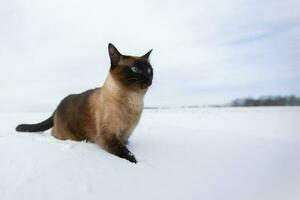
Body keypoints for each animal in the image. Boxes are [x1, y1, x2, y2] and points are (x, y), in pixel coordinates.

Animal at [15, 43, 154, 162]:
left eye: (149, 70)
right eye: (135, 69)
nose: (149, 78)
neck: (134, 101)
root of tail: (58, 106)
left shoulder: (126, 135)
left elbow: (126, 144)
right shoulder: (108, 135)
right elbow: (124, 151)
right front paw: (135, 162)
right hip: (67, 134)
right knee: (53, 133)